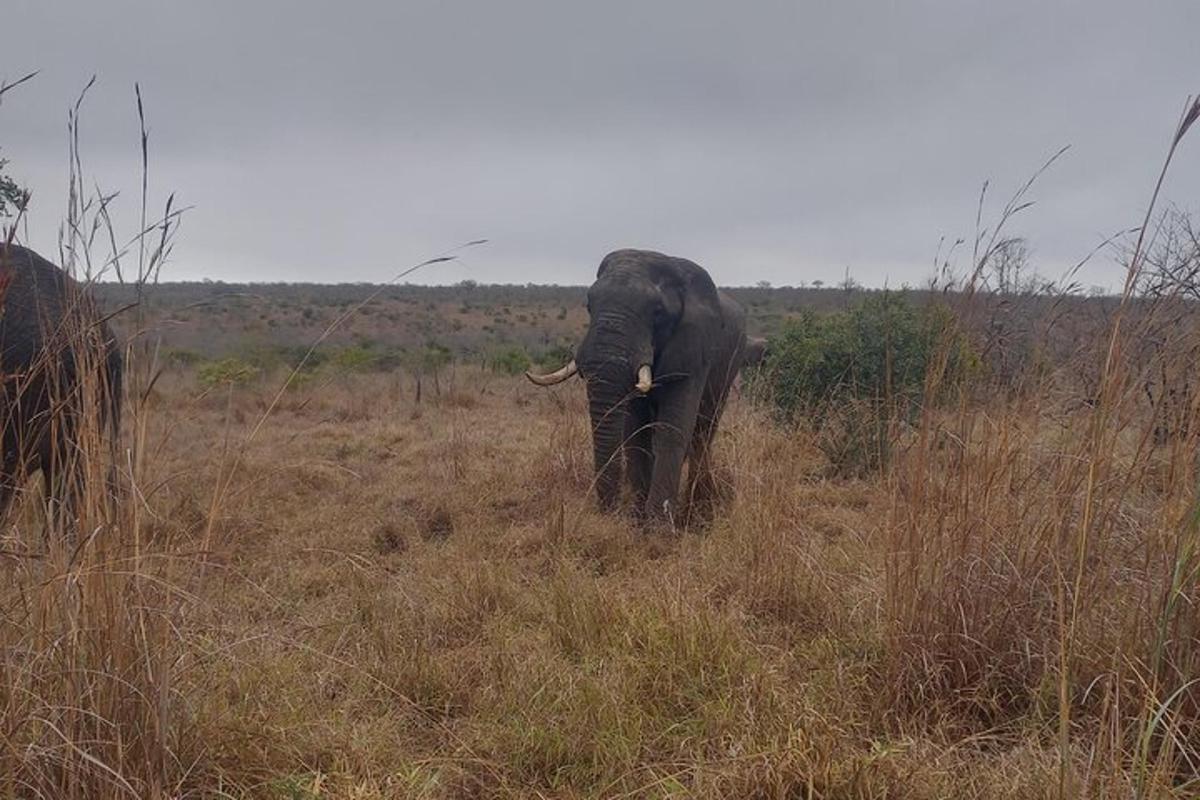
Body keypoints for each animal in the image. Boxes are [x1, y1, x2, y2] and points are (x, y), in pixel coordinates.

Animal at [525, 250, 748, 525]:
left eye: (657, 312)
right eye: (589, 306)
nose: (608, 513)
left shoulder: (694, 348)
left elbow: (672, 429)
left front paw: (657, 528)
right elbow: (635, 432)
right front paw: (636, 521)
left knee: (703, 431)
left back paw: (697, 508)